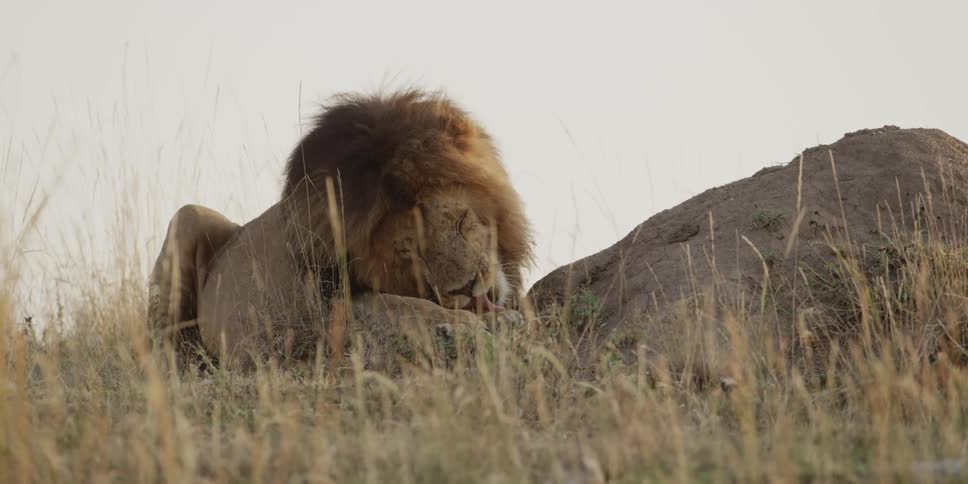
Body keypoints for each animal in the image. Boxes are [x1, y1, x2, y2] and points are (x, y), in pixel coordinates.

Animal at [147, 89, 534, 368]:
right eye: (412, 252)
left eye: (461, 220)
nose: (467, 288)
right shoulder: (332, 302)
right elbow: (403, 306)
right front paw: (461, 326)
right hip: (187, 217)